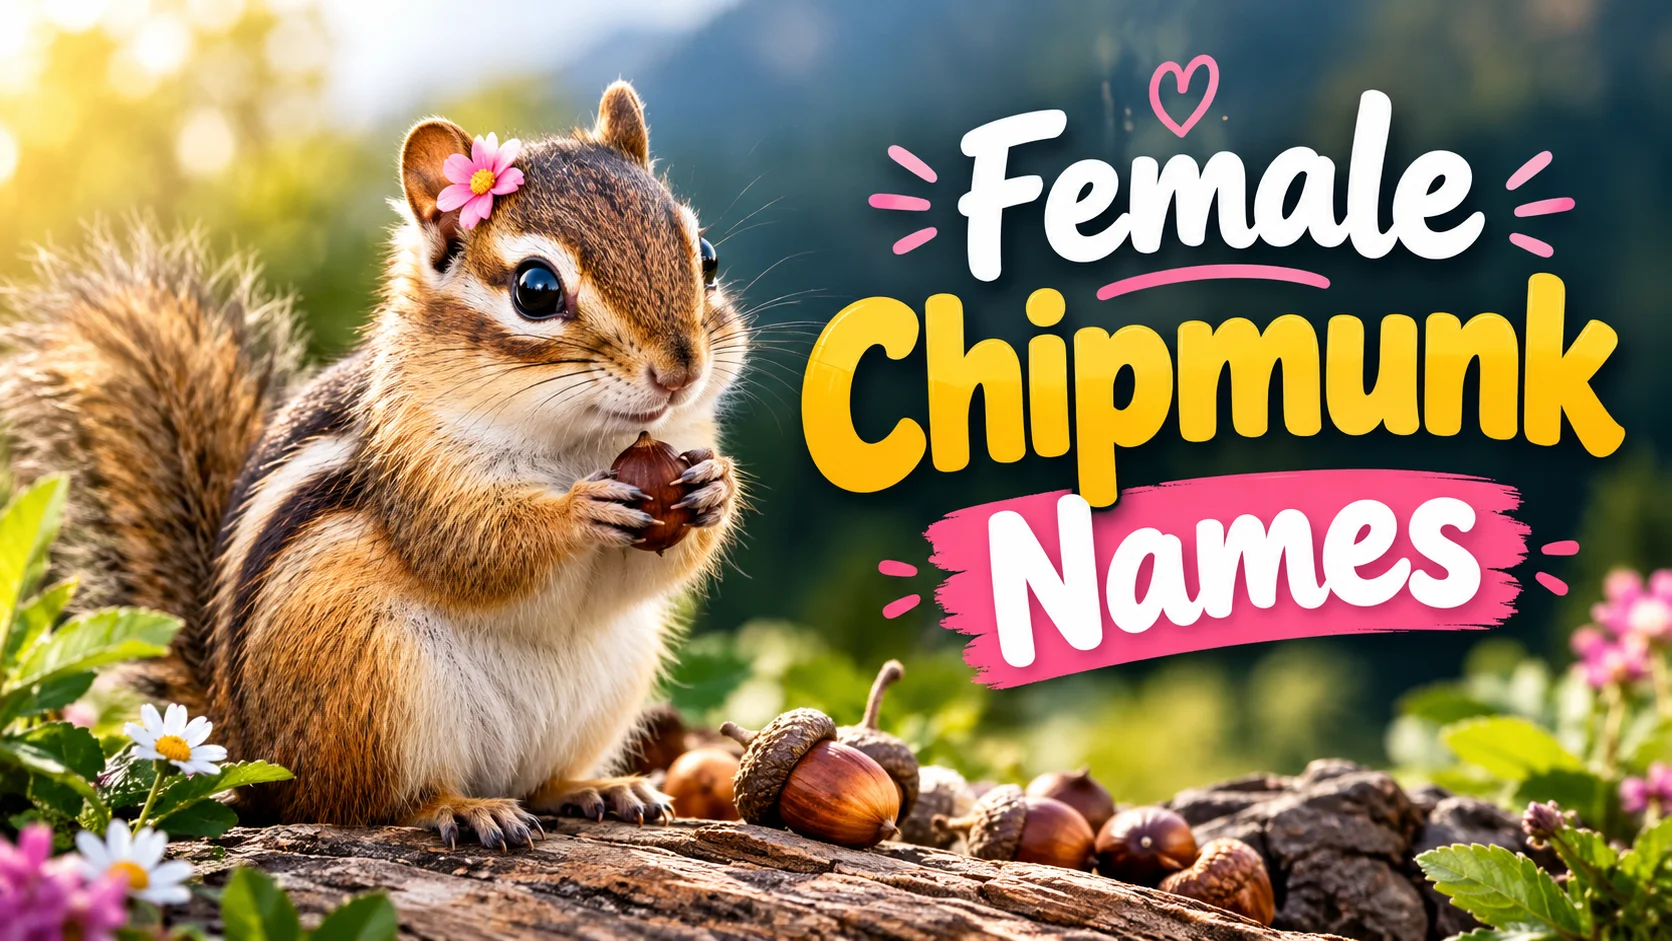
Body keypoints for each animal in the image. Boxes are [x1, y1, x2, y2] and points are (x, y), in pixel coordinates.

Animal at [0, 82, 746, 848]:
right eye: (535, 289)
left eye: (707, 256)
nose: (680, 373)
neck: (583, 444)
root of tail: (236, 740)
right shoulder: (415, 474)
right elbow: (473, 546)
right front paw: (578, 510)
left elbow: (643, 575)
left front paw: (715, 486)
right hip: (371, 685)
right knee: (366, 801)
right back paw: (461, 806)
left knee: (538, 782)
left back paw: (597, 788)